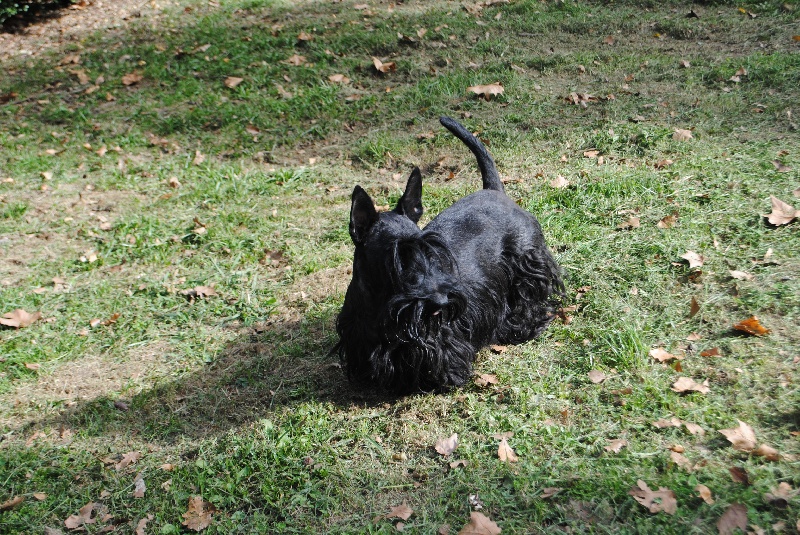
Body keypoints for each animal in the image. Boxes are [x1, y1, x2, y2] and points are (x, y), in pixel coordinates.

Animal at [333, 117, 564, 393]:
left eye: (431, 250)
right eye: (397, 258)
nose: (442, 302)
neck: (380, 302)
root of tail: (495, 190)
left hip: (528, 262)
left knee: (528, 298)